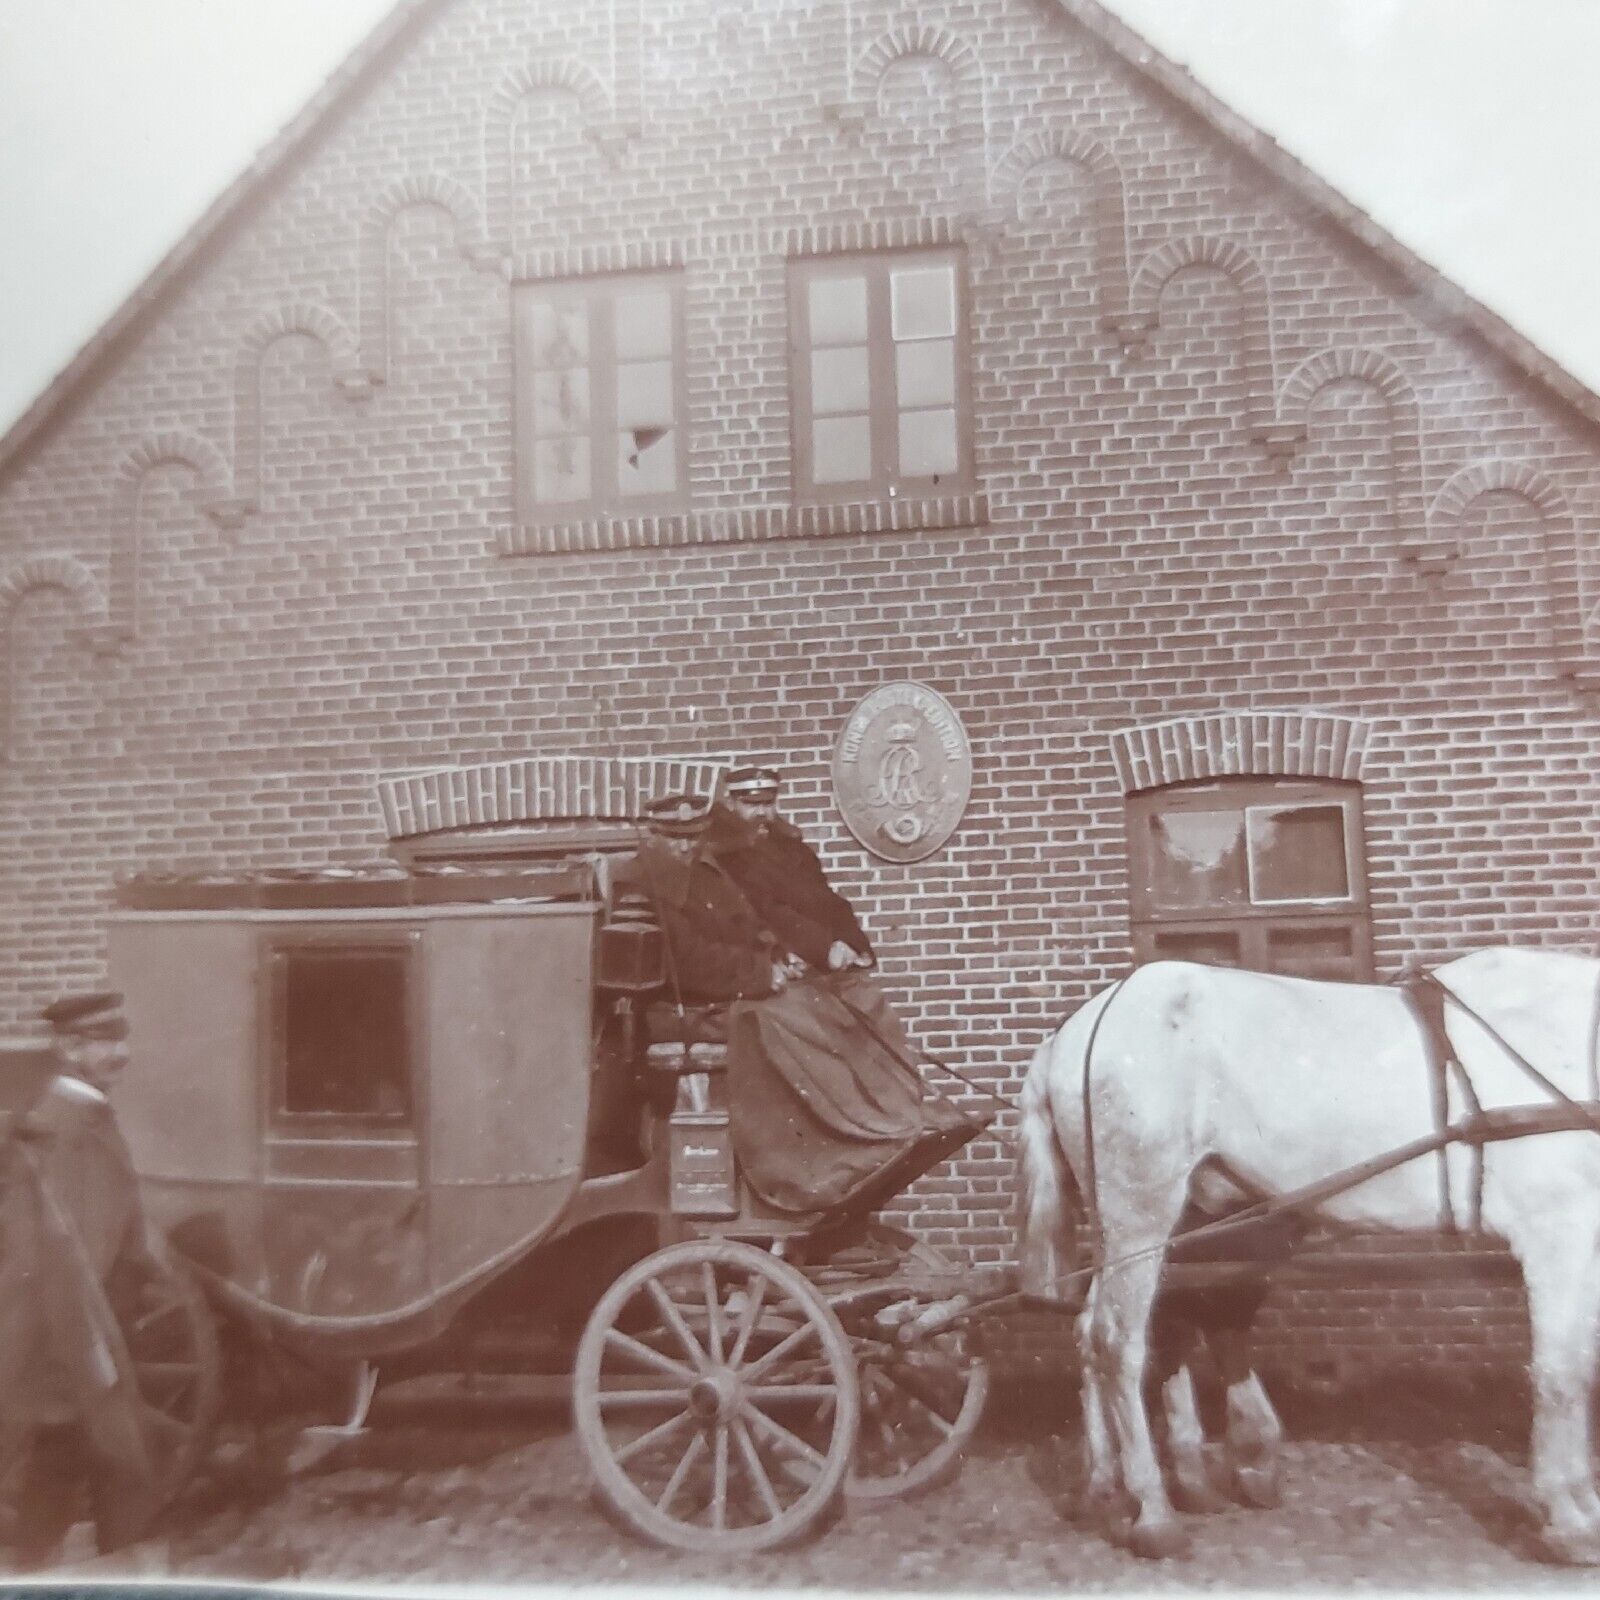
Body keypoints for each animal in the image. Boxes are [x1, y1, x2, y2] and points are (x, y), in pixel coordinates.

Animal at [1017, 947, 1600, 1561]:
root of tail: (1080, 1027)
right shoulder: (1556, 1232)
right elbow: (1563, 1374)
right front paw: (1570, 1522)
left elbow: (1582, 1365)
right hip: (1139, 1211)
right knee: (1118, 1341)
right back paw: (1153, 1513)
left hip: (1174, 1221)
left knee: (1121, 1329)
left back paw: (1111, 1486)